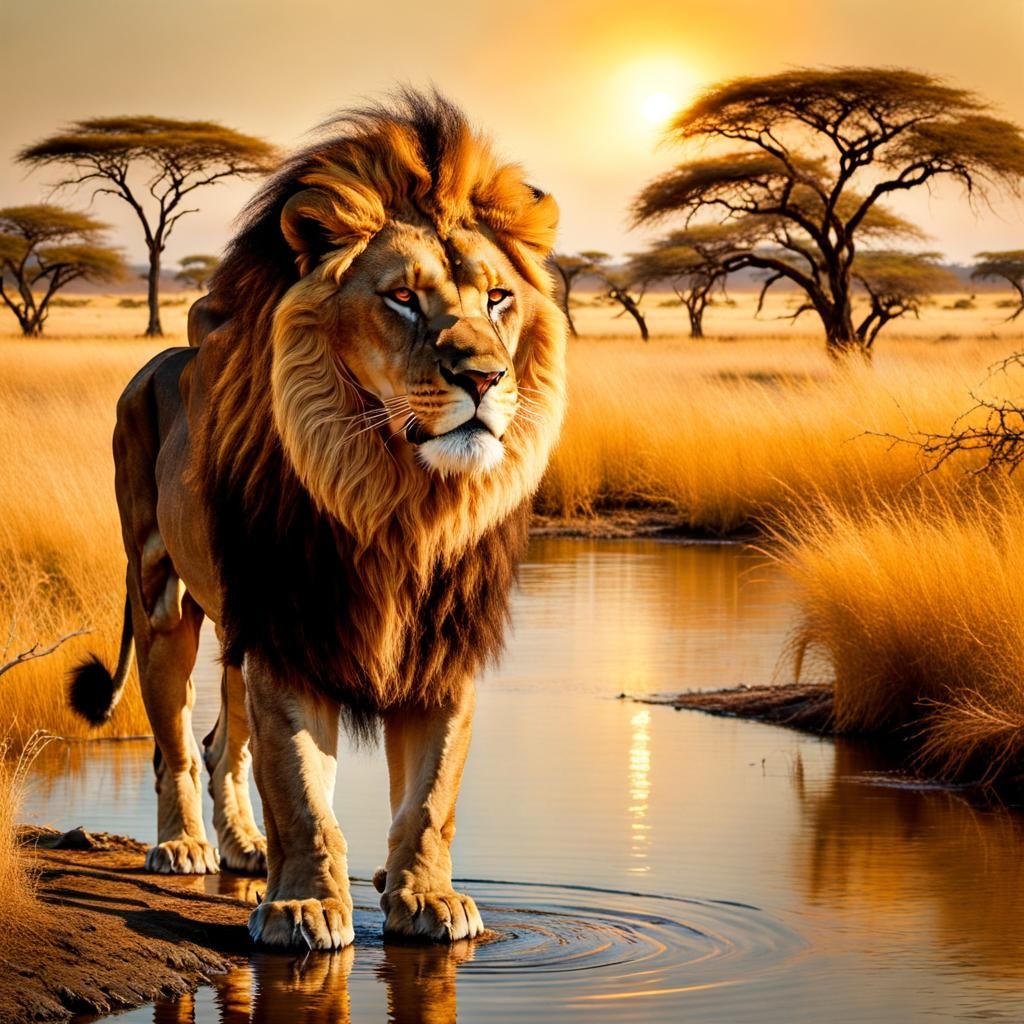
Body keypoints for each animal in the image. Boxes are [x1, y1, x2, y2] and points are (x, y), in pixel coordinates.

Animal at [69, 90, 566, 950]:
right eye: (402, 297)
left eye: (498, 298)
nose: (484, 376)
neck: (402, 501)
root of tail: (158, 361)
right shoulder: (292, 632)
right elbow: (301, 791)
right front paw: (303, 905)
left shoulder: (440, 646)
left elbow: (431, 796)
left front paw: (427, 897)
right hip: (164, 600)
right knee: (177, 746)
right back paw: (184, 846)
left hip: (236, 628)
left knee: (221, 744)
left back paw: (242, 847)